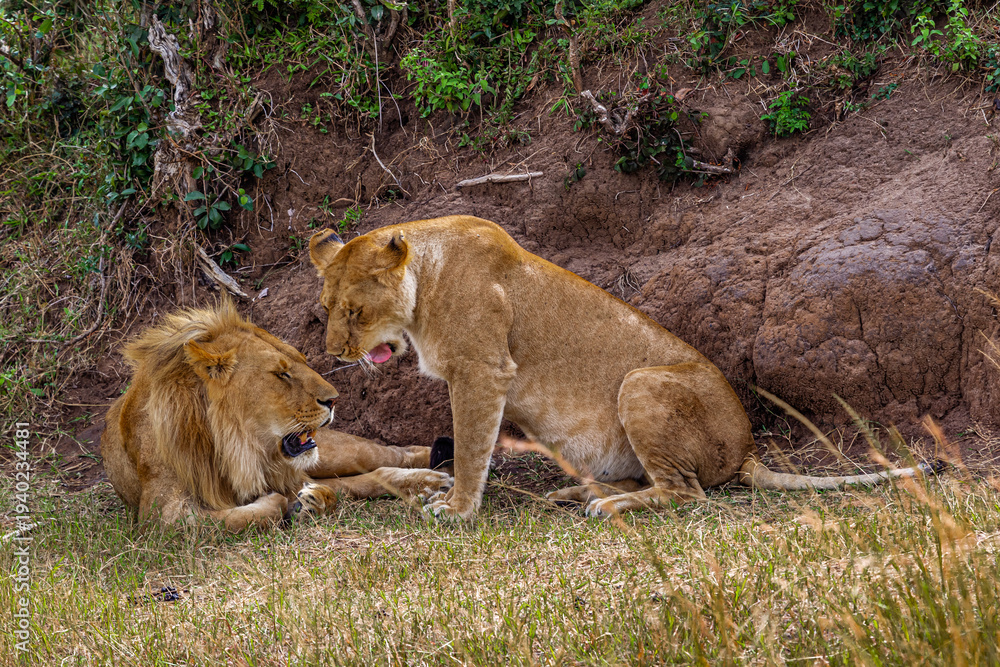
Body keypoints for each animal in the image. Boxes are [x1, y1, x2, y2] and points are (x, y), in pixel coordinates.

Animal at [100, 300, 453, 531]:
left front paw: (283, 503)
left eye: (302, 361)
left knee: (397, 453)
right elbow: (240, 517)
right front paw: (284, 504)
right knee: (367, 478)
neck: (231, 445)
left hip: (335, 452)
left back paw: (440, 477)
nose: (334, 400)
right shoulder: (161, 517)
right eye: (282, 374)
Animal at [308, 215, 937, 520]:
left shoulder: (483, 372)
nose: (335, 355)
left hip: (641, 383)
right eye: (325, 308)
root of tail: (748, 451)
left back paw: (605, 504)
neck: (425, 284)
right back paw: (576, 492)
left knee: (686, 494)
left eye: (355, 312)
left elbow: (468, 451)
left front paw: (457, 510)